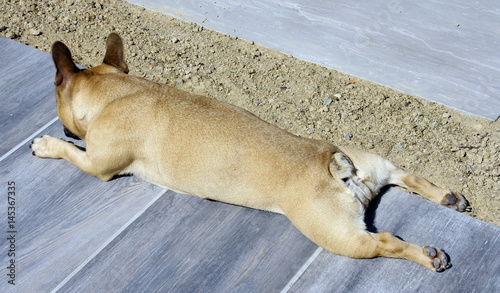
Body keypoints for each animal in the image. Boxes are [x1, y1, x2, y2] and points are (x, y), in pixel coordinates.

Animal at [30, 33, 468, 270]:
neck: (119, 92)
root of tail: (332, 164)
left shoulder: (97, 164)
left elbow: (72, 152)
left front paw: (49, 144)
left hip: (337, 235)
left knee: (385, 242)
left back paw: (427, 256)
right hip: (368, 161)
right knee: (404, 174)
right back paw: (448, 196)